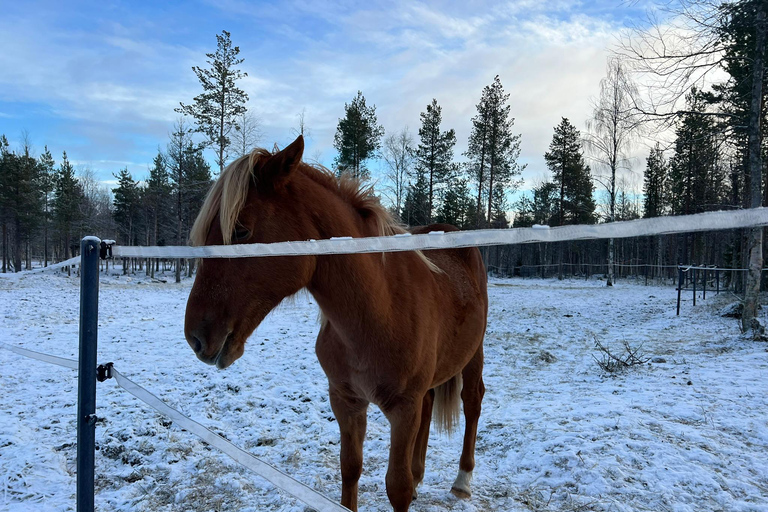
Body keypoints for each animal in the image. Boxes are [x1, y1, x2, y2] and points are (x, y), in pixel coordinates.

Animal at [185, 134, 486, 510]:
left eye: (240, 231)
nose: (196, 336)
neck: (378, 313)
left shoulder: (403, 411)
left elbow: (397, 487)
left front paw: (413, 484)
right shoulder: (346, 402)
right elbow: (350, 469)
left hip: (474, 354)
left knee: (473, 401)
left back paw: (463, 480)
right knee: (431, 405)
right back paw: (421, 475)